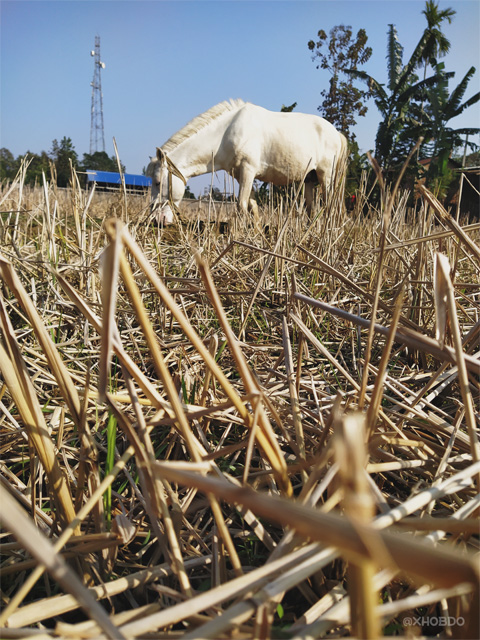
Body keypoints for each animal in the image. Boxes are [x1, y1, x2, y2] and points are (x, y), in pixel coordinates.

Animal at [144, 97, 346, 222]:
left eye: (157, 182)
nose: (157, 220)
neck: (226, 133)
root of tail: (336, 133)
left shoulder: (248, 170)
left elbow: (241, 205)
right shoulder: (240, 175)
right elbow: (252, 205)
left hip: (326, 177)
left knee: (329, 207)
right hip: (308, 180)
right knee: (312, 210)